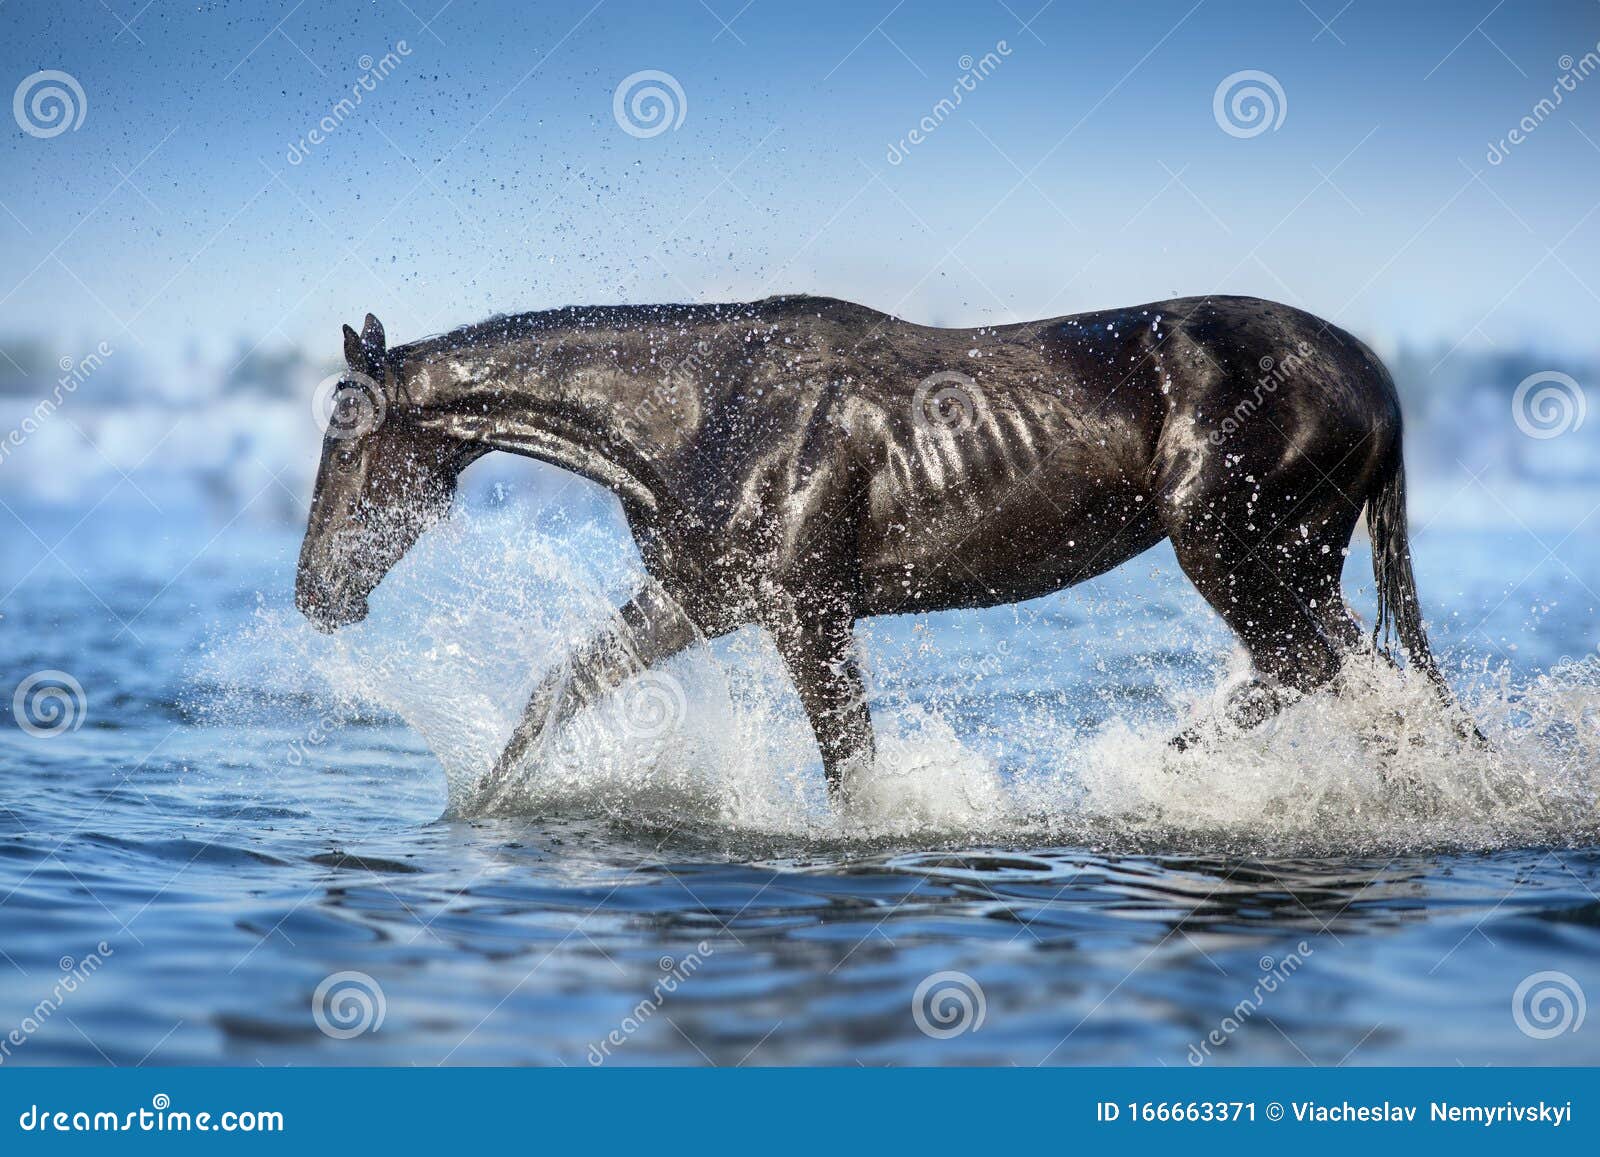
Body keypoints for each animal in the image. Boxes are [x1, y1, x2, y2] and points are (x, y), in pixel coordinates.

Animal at [294, 294, 1469, 809]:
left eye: (344, 435)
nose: (313, 594)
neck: (701, 413)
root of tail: (1374, 378)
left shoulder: (805, 610)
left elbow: (852, 766)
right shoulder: (697, 600)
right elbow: (556, 690)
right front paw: (472, 811)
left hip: (1231, 544)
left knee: (1320, 668)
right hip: (1292, 559)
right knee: (1355, 679)